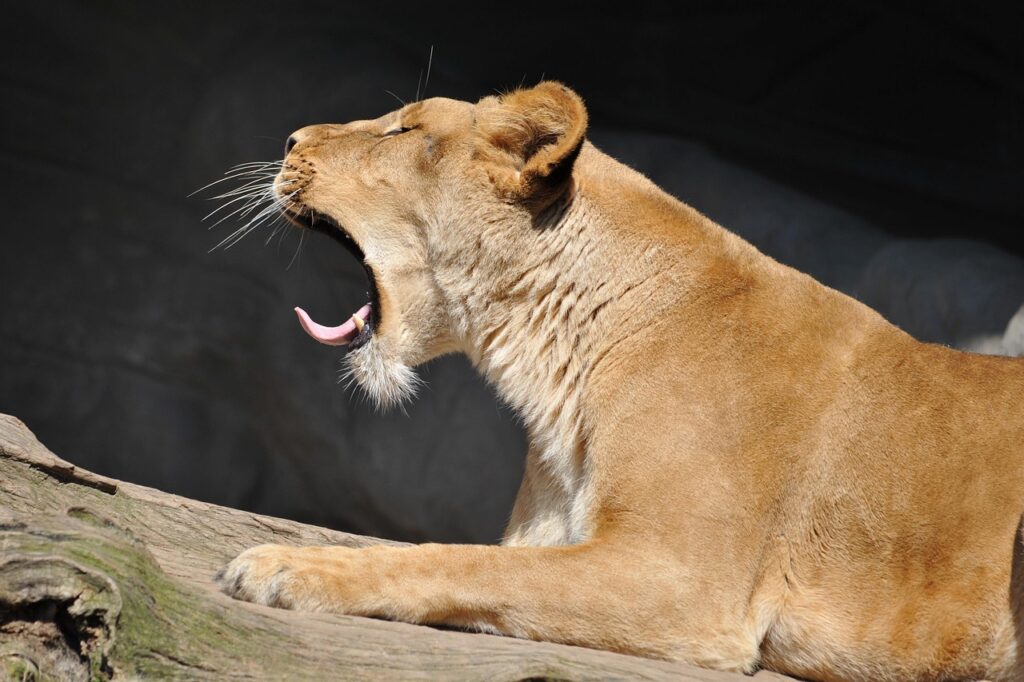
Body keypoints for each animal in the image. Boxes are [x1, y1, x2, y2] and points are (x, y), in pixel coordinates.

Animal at [216, 82, 1024, 681]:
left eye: (401, 130)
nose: (288, 141)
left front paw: (288, 565)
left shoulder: (684, 582)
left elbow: (461, 561)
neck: (551, 355)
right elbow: (485, 563)